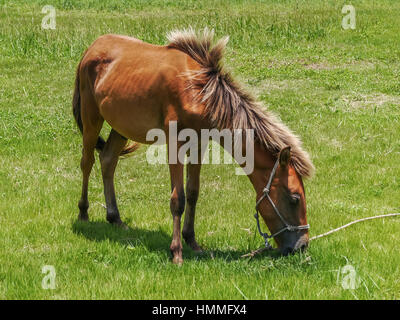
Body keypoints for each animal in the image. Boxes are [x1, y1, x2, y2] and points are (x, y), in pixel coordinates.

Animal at [73, 28, 314, 264]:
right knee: (87, 162)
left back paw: (115, 218)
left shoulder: (199, 144)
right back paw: (83, 213)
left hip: (121, 126)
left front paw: (192, 241)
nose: (301, 246)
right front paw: (176, 251)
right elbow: (177, 199)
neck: (199, 91)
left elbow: (192, 192)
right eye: (294, 198)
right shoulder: (175, 144)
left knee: (108, 160)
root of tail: (91, 48)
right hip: (91, 117)